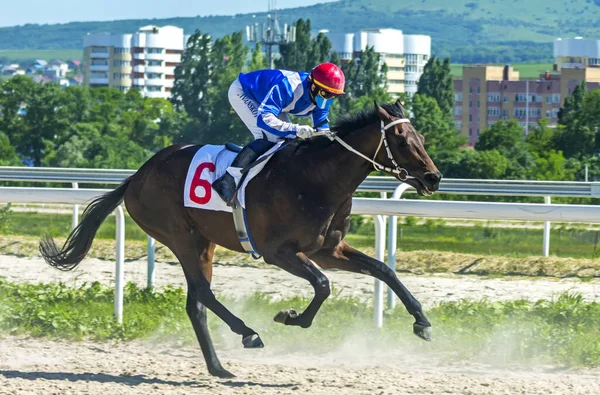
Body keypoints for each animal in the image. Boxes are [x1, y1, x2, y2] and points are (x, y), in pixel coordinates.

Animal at [37, 99, 440, 378]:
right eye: (401, 140)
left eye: (421, 137)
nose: (433, 178)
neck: (315, 179)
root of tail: (137, 175)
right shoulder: (279, 252)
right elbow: (323, 285)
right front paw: (291, 317)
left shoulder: (329, 249)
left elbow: (384, 271)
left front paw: (421, 322)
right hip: (178, 234)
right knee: (203, 294)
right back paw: (248, 334)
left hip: (204, 242)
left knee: (196, 303)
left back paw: (219, 366)